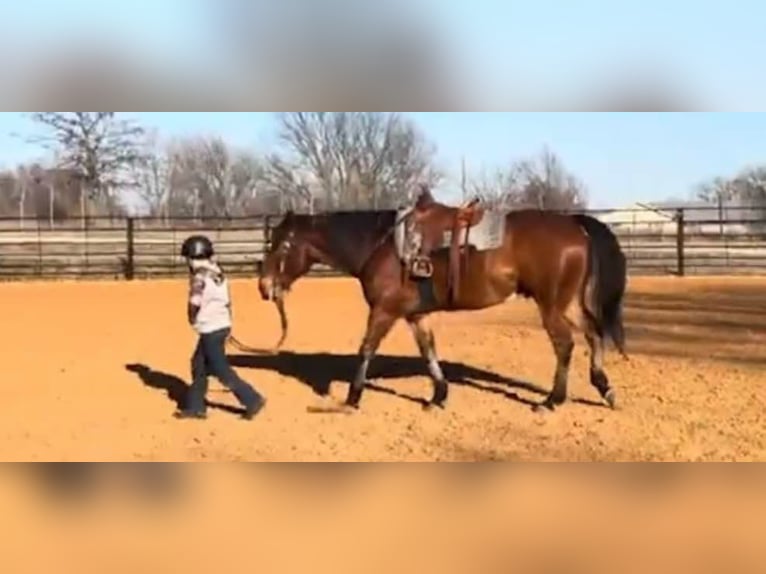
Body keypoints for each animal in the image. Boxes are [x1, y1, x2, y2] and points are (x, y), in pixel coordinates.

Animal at [258, 189, 632, 414]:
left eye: (283, 244)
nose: (264, 286)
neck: (381, 244)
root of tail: (574, 224)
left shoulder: (383, 311)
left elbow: (366, 349)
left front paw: (352, 397)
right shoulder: (415, 315)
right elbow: (428, 351)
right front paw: (438, 395)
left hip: (551, 304)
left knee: (566, 344)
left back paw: (552, 400)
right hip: (567, 302)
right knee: (594, 334)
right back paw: (605, 389)